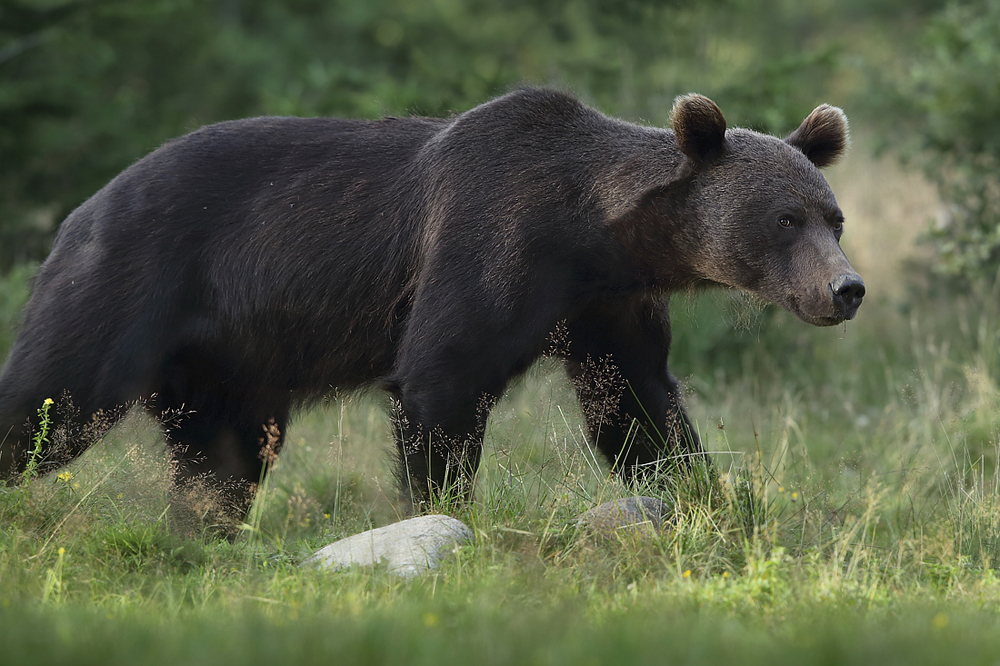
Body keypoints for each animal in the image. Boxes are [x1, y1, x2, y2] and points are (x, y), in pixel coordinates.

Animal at [0, 88, 864, 512]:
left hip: (228, 360)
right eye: (785, 219)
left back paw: (206, 529)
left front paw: (705, 495)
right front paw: (445, 513)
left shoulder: (605, 309)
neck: (595, 232)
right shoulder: (490, 244)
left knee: (224, 457)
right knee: (51, 400)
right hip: (128, 284)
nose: (846, 288)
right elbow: (443, 381)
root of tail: (84, 207)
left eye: (834, 217)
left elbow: (636, 410)